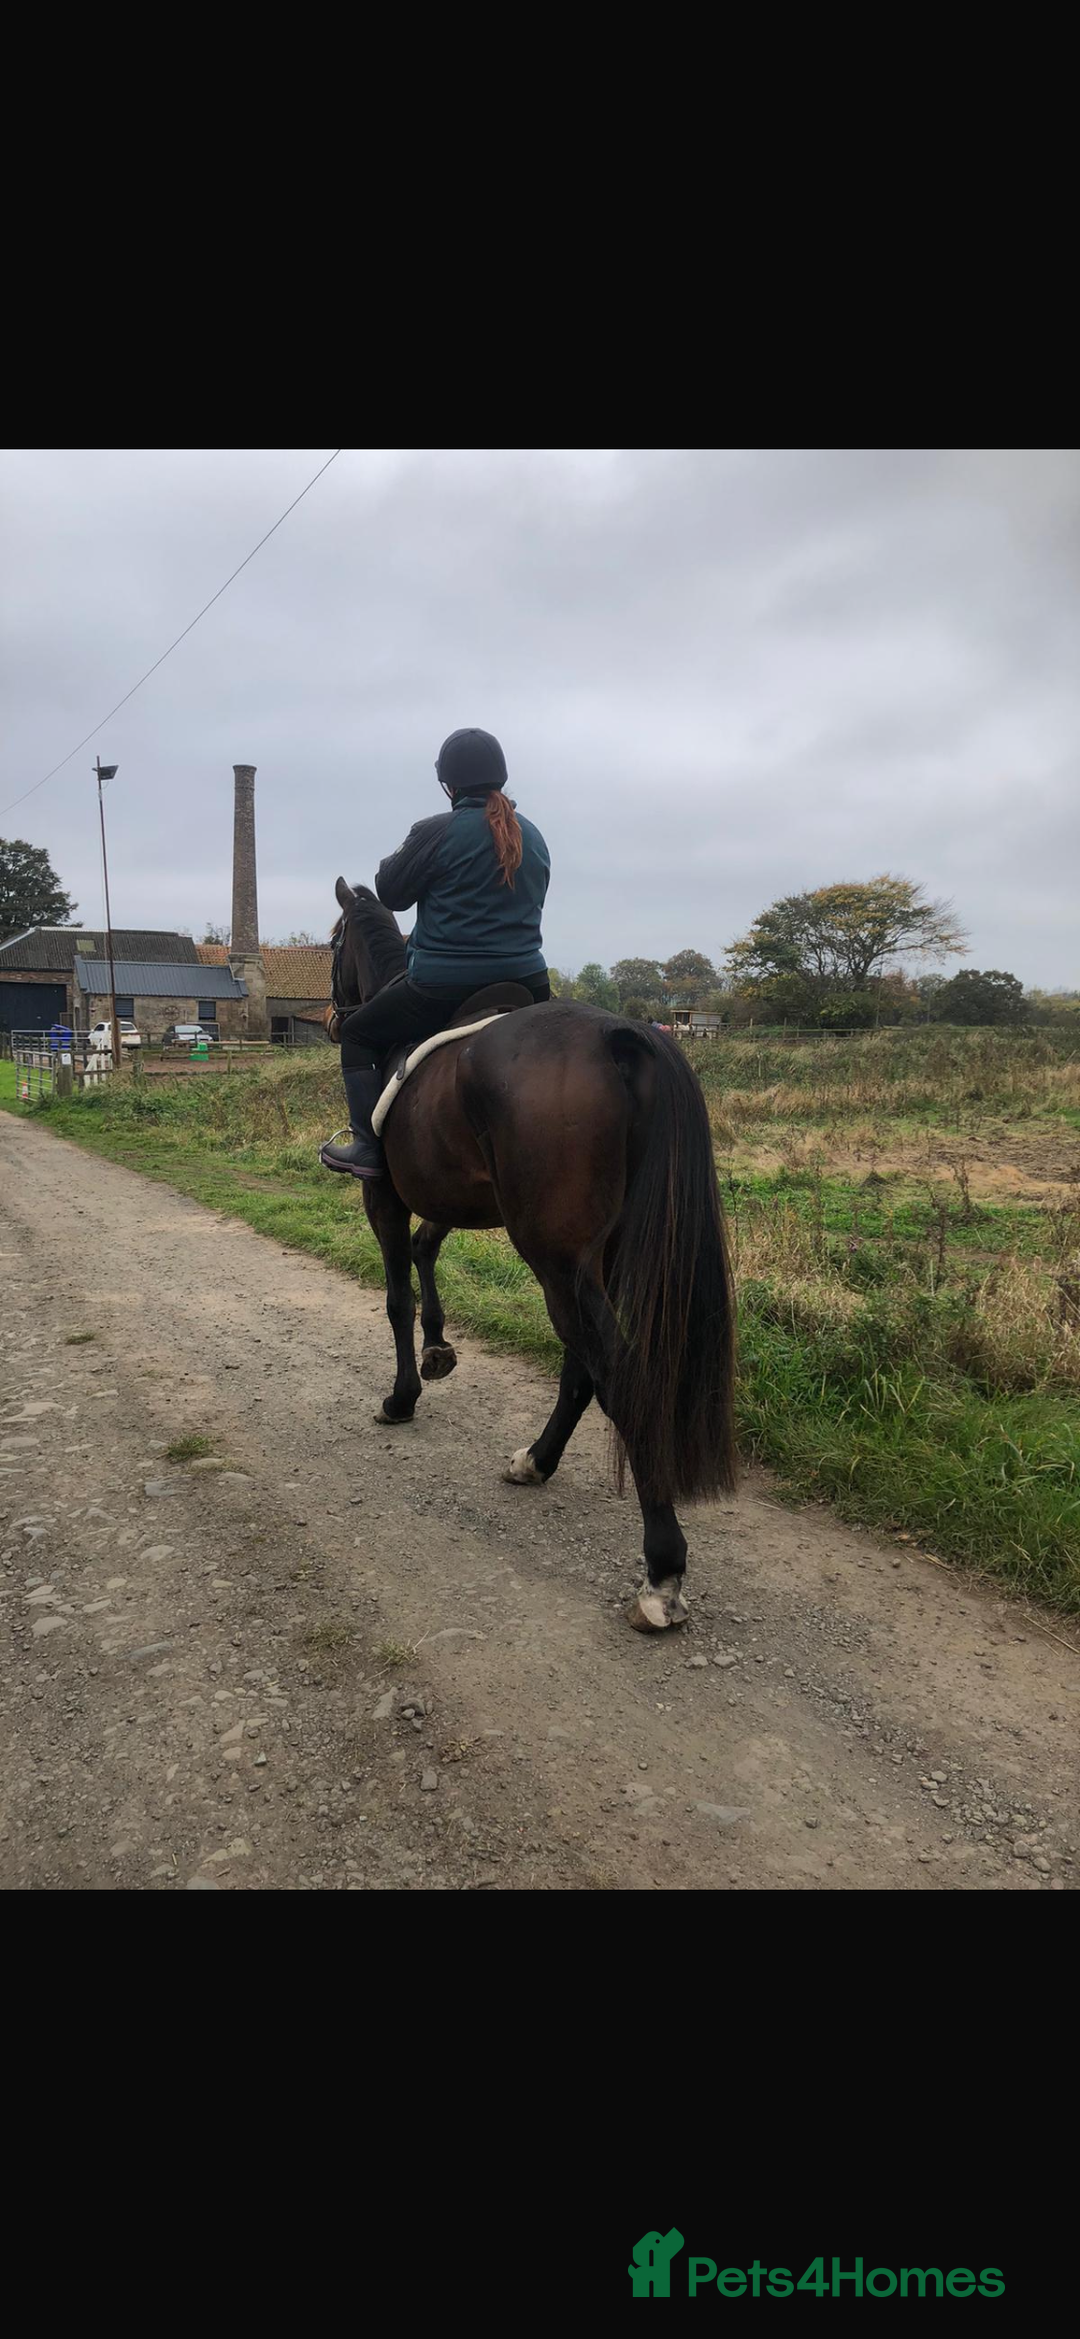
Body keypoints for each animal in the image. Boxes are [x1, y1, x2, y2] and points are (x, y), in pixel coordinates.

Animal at [327, 877, 737, 1631]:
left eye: (333, 943)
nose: (337, 1020)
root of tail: (618, 1034)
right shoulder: (456, 1200)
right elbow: (427, 1253)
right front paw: (438, 1349)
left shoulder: (385, 1199)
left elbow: (396, 1296)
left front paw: (401, 1396)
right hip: (585, 1258)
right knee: (584, 1367)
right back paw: (537, 1460)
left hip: (555, 1258)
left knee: (614, 1372)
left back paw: (662, 1569)